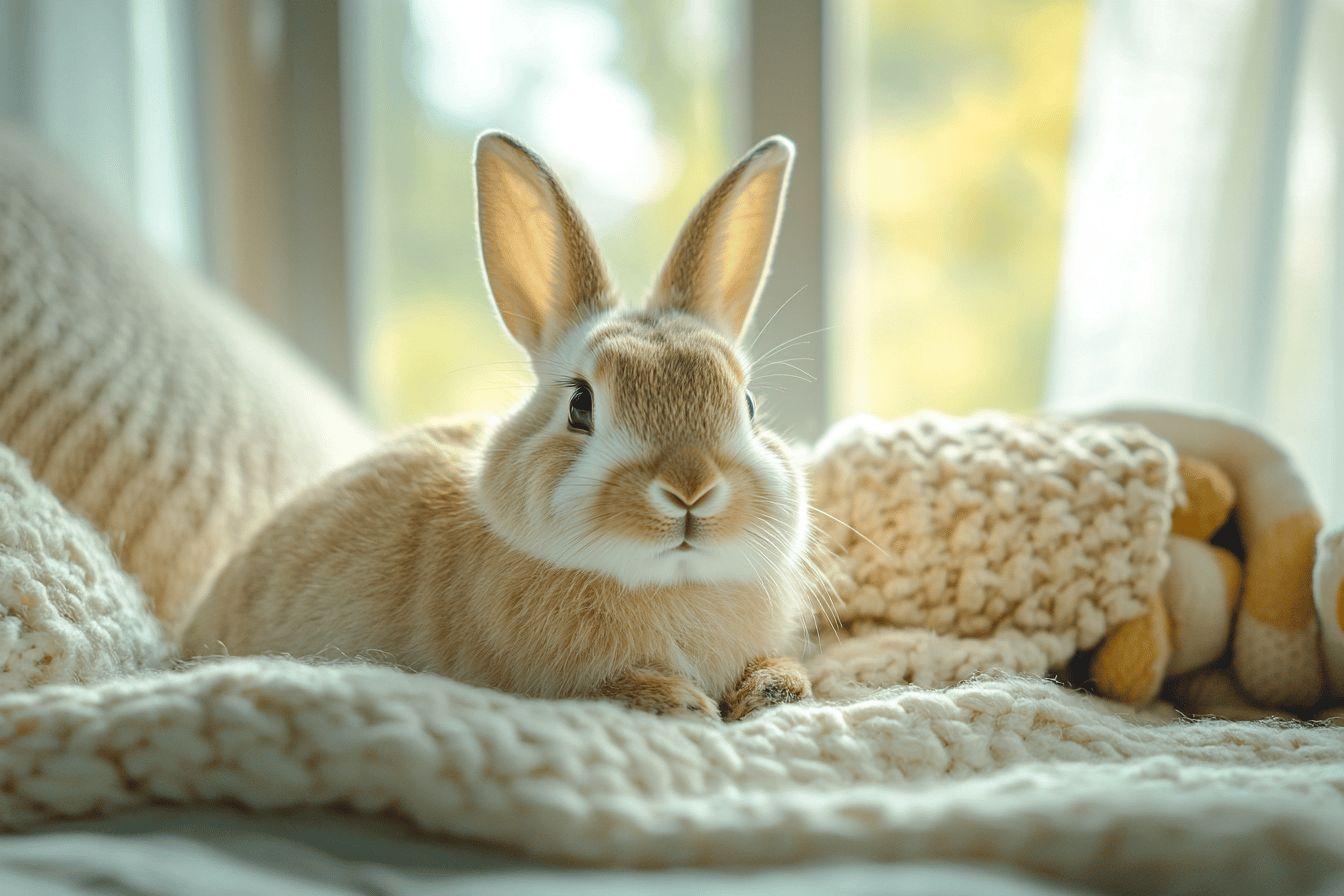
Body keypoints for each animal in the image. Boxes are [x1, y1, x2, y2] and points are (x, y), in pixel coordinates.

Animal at [182, 132, 814, 720]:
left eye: (748, 405)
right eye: (580, 405)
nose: (690, 489)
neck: (673, 582)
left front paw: (775, 689)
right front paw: (677, 701)